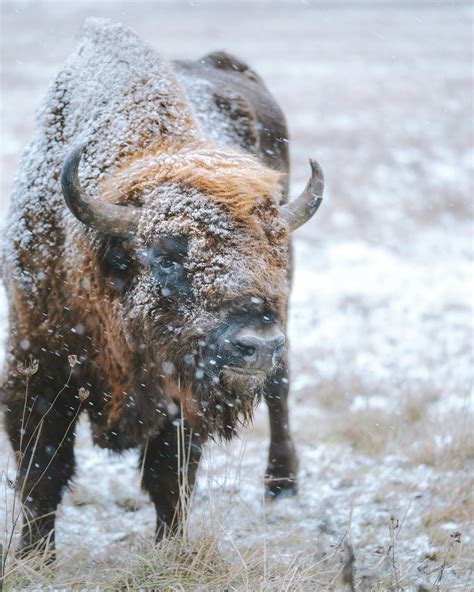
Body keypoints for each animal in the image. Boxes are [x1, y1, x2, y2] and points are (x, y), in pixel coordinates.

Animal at [0, 18, 322, 556]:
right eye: (167, 256)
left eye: (271, 252)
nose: (256, 345)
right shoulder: (34, 369)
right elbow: (42, 474)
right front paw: (33, 556)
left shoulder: (179, 397)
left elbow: (168, 479)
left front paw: (170, 548)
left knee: (280, 387)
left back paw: (281, 484)